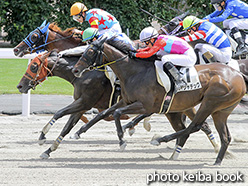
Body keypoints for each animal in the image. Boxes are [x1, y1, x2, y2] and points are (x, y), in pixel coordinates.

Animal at [71, 37, 246, 165]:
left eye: (90, 51)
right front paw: (79, 132)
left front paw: (122, 140)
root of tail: (238, 74)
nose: (75, 70)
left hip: (211, 102)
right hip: (220, 111)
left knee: (195, 126)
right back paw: (215, 161)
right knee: (222, 135)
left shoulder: (144, 106)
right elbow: (107, 113)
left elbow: (117, 114)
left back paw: (160, 140)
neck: (134, 72)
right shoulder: (126, 101)